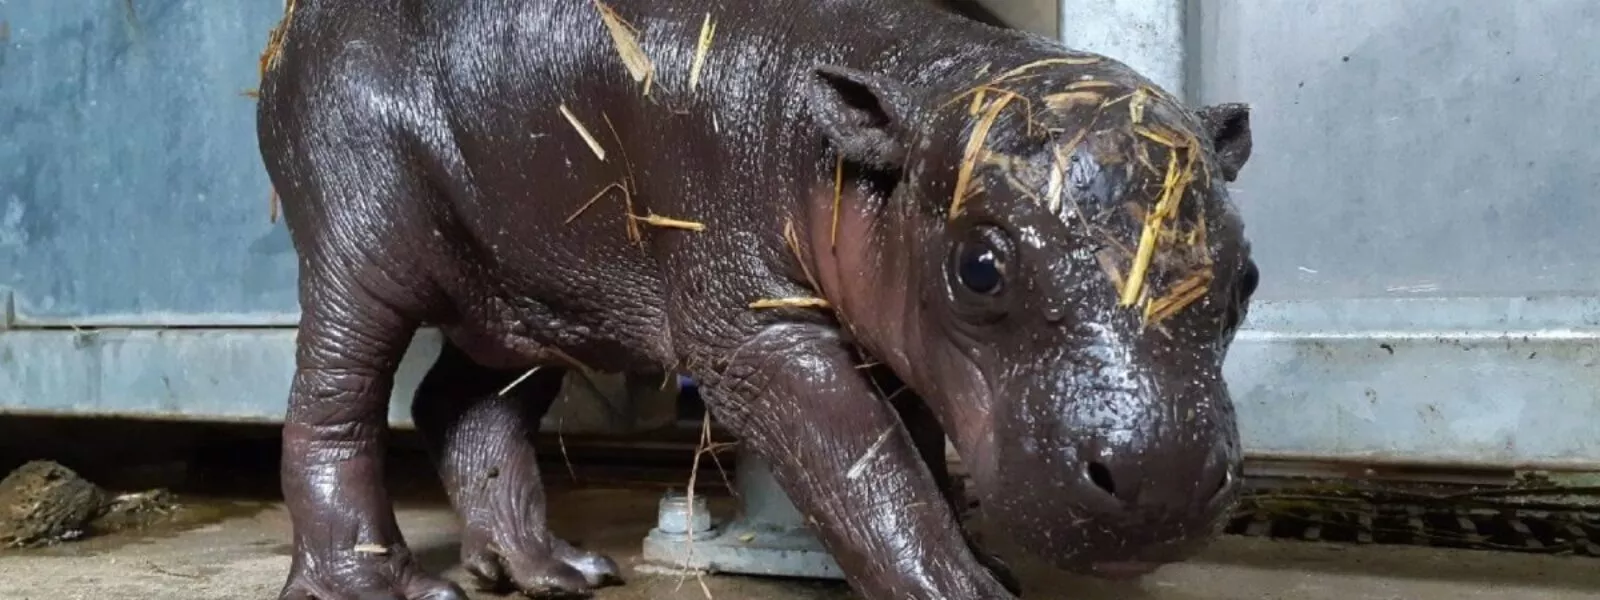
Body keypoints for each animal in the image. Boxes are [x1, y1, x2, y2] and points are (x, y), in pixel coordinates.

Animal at [253, 0, 1258, 598]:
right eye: (980, 266)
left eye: (1246, 278)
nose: (1167, 477)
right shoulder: (753, 333)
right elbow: (860, 458)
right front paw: (961, 589)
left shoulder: (887, 329)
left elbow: (914, 455)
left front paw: (989, 570)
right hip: (363, 234)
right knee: (331, 406)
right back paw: (388, 588)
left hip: (527, 290)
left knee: (463, 405)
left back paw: (555, 570)